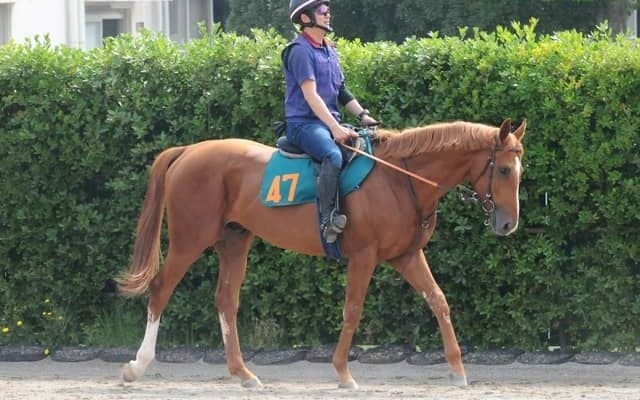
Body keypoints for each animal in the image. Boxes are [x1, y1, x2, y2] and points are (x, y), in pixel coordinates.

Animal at [117, 118, 526, 389]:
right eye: (505, 170)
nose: (508, 223)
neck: (400, 178)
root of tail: (189, 150)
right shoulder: (364, 256)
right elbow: (352, 310)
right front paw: (343, 372)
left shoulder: (407, 256)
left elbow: (438, 300)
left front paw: (457, 370)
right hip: (190, 239)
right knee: (161, 289)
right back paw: (137, 365)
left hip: (234, 241)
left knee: (226, 300)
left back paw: (243, 373)